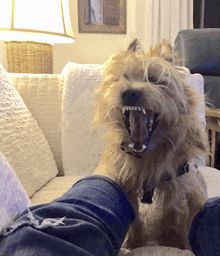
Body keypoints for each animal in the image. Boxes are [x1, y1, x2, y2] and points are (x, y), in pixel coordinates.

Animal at [93, 40, 210, 250]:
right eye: (121, 78)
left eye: (155, 80)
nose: (129, 92)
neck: (148, 157)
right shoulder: (127, 185)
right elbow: (135, 220)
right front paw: (135, 243)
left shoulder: (179, 184)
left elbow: (172, 214)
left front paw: (171, 241)